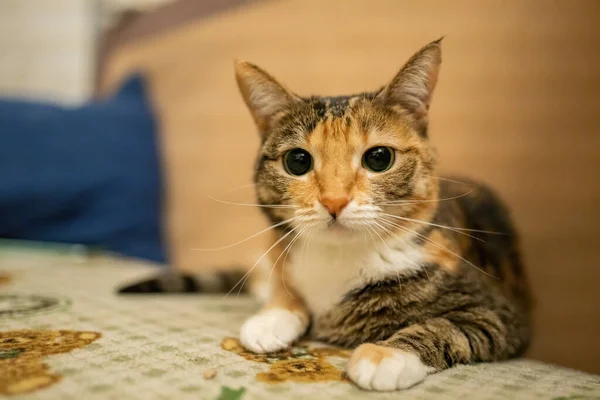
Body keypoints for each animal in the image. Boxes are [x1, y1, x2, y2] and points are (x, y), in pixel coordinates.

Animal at [119, 39, 532, 390]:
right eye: (297, 161)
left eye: (379, 158)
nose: (334, 201)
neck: (337, 259)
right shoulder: (283, 253)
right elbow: (285, 287)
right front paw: (272, 317)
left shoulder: (499, 312)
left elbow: (447, 326)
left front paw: (385, 356)